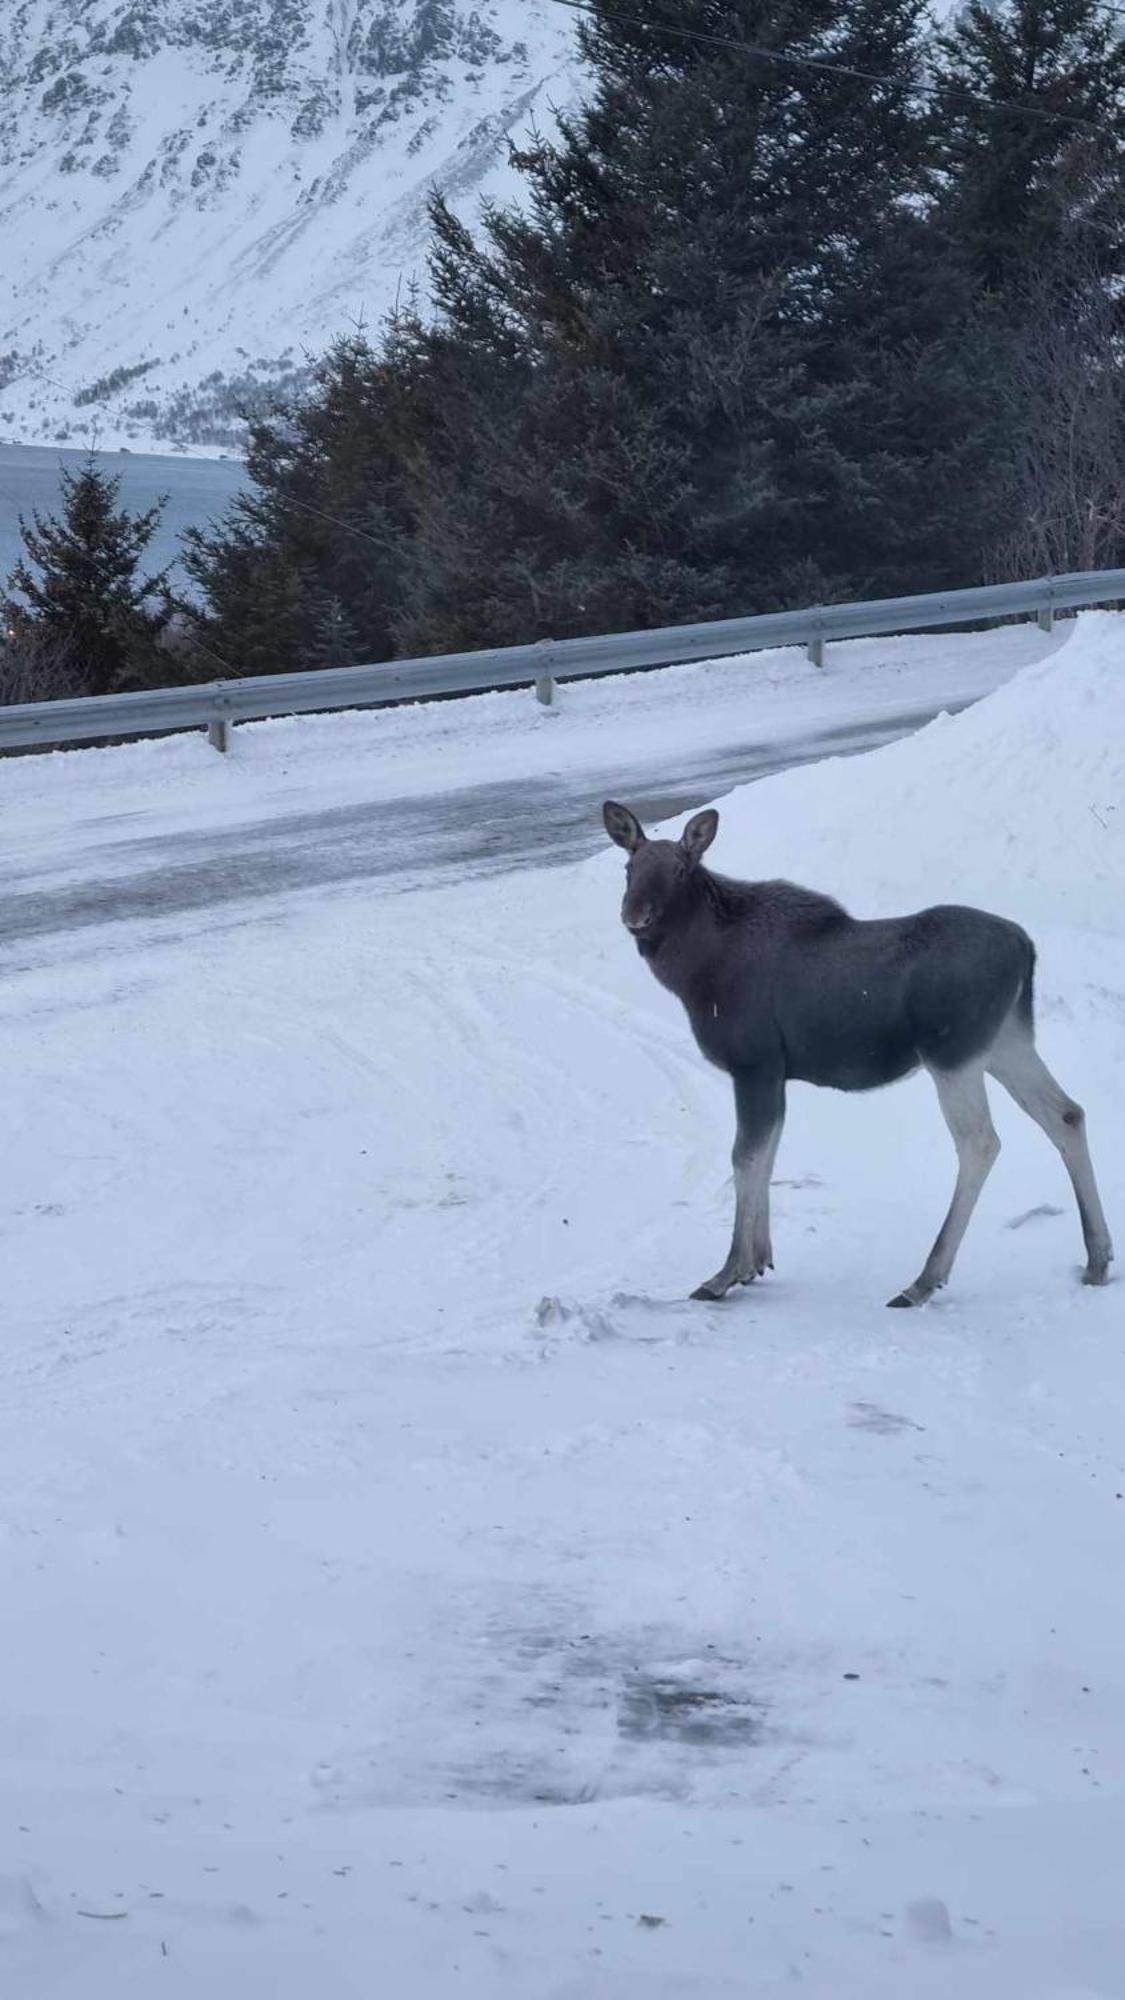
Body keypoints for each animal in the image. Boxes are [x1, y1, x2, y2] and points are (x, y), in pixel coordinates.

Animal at [600, 800, 1104, 1312]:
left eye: (680, 869)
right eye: (628, 867)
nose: (634, 915)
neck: (694, 976)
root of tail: (1027, 947)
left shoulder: (754, 1063)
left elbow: (746, 1157)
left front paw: (727, 1272)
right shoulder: (775, 1073)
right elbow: (769, 1154)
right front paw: (758, 1260)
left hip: (952, 1052)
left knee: (980, 1142)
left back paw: (924, 1279)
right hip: (1006, 1041)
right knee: (1066, 1114)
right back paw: (1097, 1258)